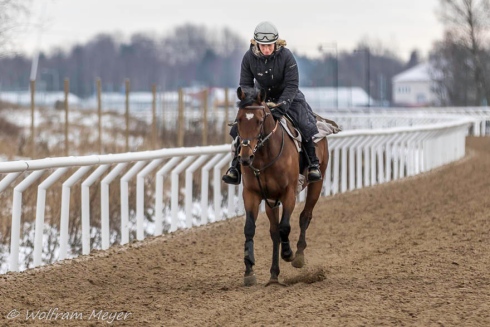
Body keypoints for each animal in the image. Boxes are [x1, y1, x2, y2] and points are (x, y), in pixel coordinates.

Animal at [234, 86, 330, 288]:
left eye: (259, 120)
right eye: (238, 119)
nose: (245, 157)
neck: (264, 156)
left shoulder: (289, 193)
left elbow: (285, 227)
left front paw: (288, 253)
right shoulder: (253, 194)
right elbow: (250, 228)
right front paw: (249, 269)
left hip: (317, 183)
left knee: (305, 216)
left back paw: (299, 256)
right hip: (271, 199)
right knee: (274, 232)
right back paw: (273, 275)